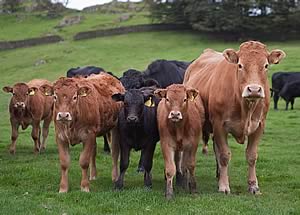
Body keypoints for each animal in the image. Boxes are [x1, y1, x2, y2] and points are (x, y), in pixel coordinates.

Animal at [183, 41, 286, 194]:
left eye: (266, 65)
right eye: (240, 65)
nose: (254, 89)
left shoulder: (259, 125)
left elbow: (252, 156)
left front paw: (253, 185)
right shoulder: (219, 125)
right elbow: (224, 155)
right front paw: (224, 186)